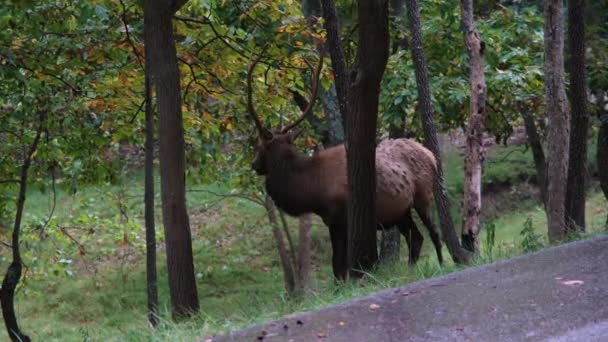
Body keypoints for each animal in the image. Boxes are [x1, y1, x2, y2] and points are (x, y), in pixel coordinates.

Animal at [246, 54, 442, 280]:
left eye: (260, 146)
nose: (255, 165)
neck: (312, 191)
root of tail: (431, 155)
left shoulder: (340, 218)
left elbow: (338, 266)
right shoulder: (333, 220)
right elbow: (340, 266)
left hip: (423, 196)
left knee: (434, 233)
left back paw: (444, 263)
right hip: (400, 211)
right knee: (416, 238)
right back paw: (410, 271)